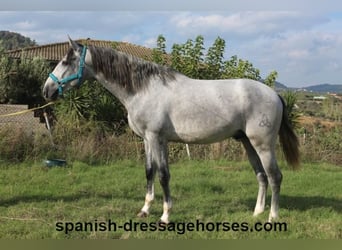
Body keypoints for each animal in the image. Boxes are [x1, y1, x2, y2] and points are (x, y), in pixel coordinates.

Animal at [43, 37, 300, 223]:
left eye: (66, 61)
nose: (47, 90)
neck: (143, 89)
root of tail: (274, 94)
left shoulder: (156, 138)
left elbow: (163, 175)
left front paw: (165, 216)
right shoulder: (149, 140)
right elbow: (150, 172)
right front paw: (145, 210)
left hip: (263, 144)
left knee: (275, 176)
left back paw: (272, 217)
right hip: (247, 142)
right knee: (261, 176)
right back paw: (257, 212)